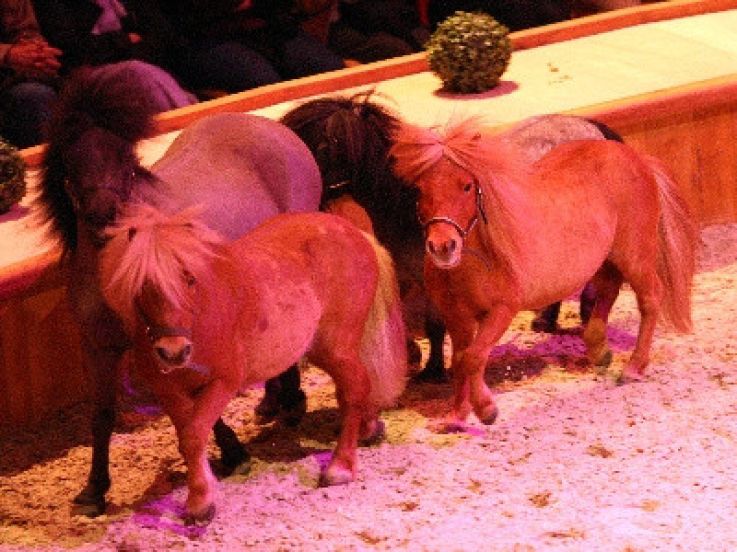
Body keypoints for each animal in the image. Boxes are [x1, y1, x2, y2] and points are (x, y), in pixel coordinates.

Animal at [35, 66, 322, 517]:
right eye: (72, 162)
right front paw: (93, 491)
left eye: (127, 164)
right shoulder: (99, 349)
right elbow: (102, 415)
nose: (105, 218)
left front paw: (233, 454)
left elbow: (192, 411)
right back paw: (274, 403)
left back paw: (291, 403)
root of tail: (274, 129)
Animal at [99, 204, 407, 525]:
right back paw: (368, 429)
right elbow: (188, 439)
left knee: (355, 387)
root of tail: (353, 231)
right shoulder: (170, 393)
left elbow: (195, 436)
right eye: (142, 286)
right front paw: (204, 491)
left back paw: (340, 467)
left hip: (335, 348)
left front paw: (200, 503)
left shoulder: (223, 382)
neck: (200, 317)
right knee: (357, 387)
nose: (174, 352)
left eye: (190, 279)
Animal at [279, 93, 616, 383]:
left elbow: (435, 325)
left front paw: (434, 369)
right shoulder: (409, 274)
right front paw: (415, 357)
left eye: (317, 149)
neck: (406, 203)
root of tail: (590, 127)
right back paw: (547, 320)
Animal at [390, 115, 697, 430]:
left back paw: (634, 367)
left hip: (635, 257)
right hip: (604, 259)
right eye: (419, 190)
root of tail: (636, 157)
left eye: (466, 186)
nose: (443, 247)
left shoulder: (502, 310)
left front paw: (486, 410)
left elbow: (473, 358)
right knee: (608, 291)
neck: (475, 262)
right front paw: (457, 415)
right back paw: (599, 351)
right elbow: (461, 360)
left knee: (650, 300)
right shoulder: (457, 318)